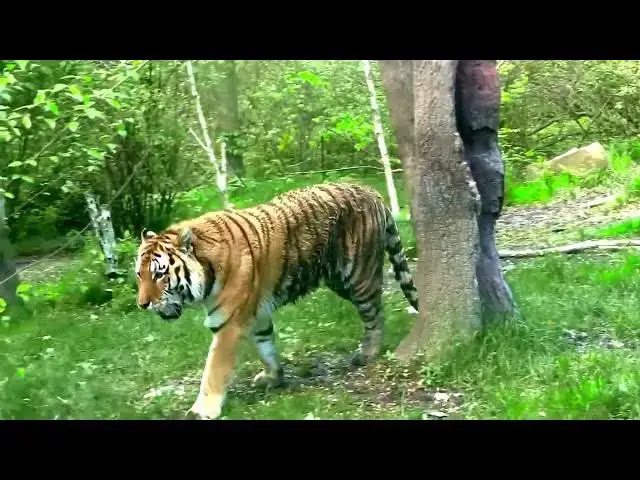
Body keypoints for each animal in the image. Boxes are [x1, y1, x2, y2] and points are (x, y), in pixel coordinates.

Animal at [134, 182, 419, 420]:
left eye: (159, 274)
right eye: (139, 274)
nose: (142, 305)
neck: (207, 270)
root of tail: (370, 189)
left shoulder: (228, 324)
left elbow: (213, 370)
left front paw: (202, 410)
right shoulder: (257, 313)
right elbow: (266, 346)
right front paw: (273, 377)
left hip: (358, 276)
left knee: (375, 313)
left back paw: (367, 353)